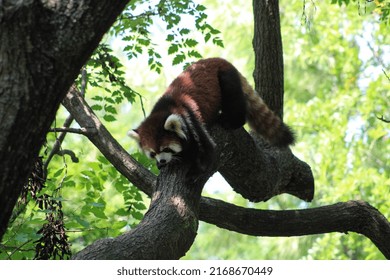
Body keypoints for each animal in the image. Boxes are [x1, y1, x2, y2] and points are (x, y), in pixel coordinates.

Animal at [129, 57, 294, 168]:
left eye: (166, 149)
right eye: (152, 153)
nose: (162, 161)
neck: (166, 107)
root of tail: (217, 59)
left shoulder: (190, 116)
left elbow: (207, 149)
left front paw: (197, 168)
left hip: (225, 77)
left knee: (234, 99)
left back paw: (228, 120)